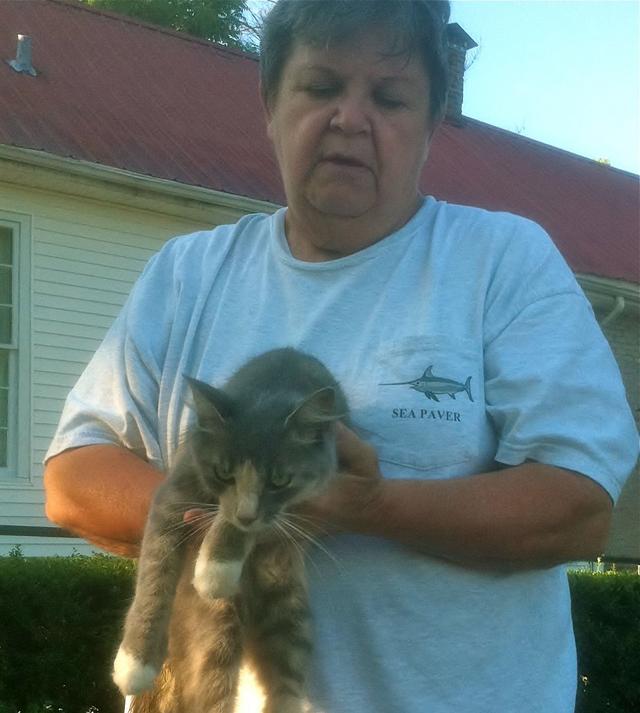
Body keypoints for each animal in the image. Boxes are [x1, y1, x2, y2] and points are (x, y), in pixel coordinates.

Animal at [112, 347, 348, 713]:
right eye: (223, 472)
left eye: (280, 480)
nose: (247, 515)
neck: (273, 384)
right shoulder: (176, 491)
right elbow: (155, 573)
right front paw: (134, 664)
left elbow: (235, 520)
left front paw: (214, 569)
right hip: (216, 630)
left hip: (289, 612)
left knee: (287, 677)